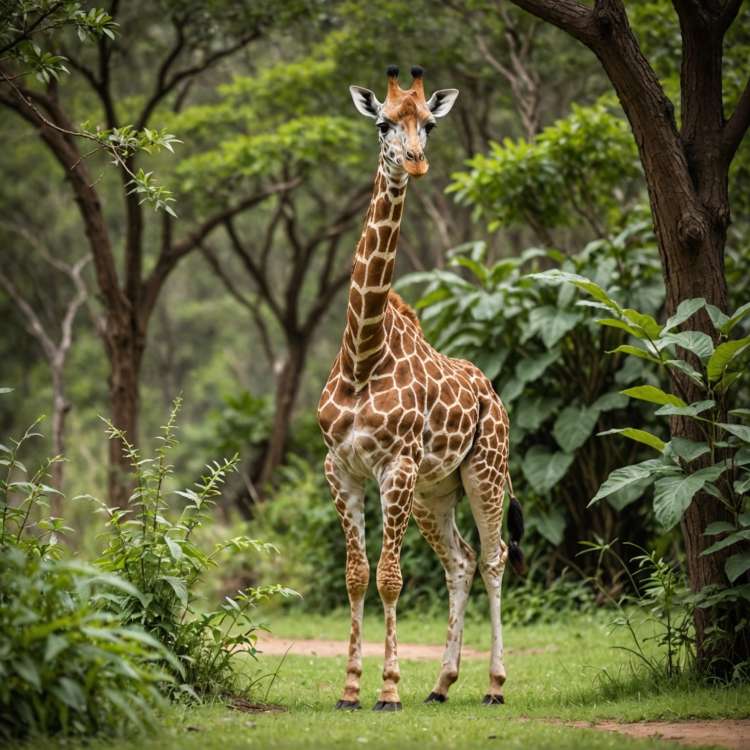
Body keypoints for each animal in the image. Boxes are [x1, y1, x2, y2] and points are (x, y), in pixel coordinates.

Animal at [317, 65, 525, 712]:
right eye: (383, 123)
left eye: (429, 124)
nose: (414, 161)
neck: (362, 357)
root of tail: (492, 392)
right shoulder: (341, 468)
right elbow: (357, 575)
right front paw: (350, 689)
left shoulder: (396, 467)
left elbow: (390, 577)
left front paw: (387, 690)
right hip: (438, 490)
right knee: (461, 561)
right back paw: (441, 683)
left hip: (485, 471)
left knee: (494, 556)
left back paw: (494, 685)